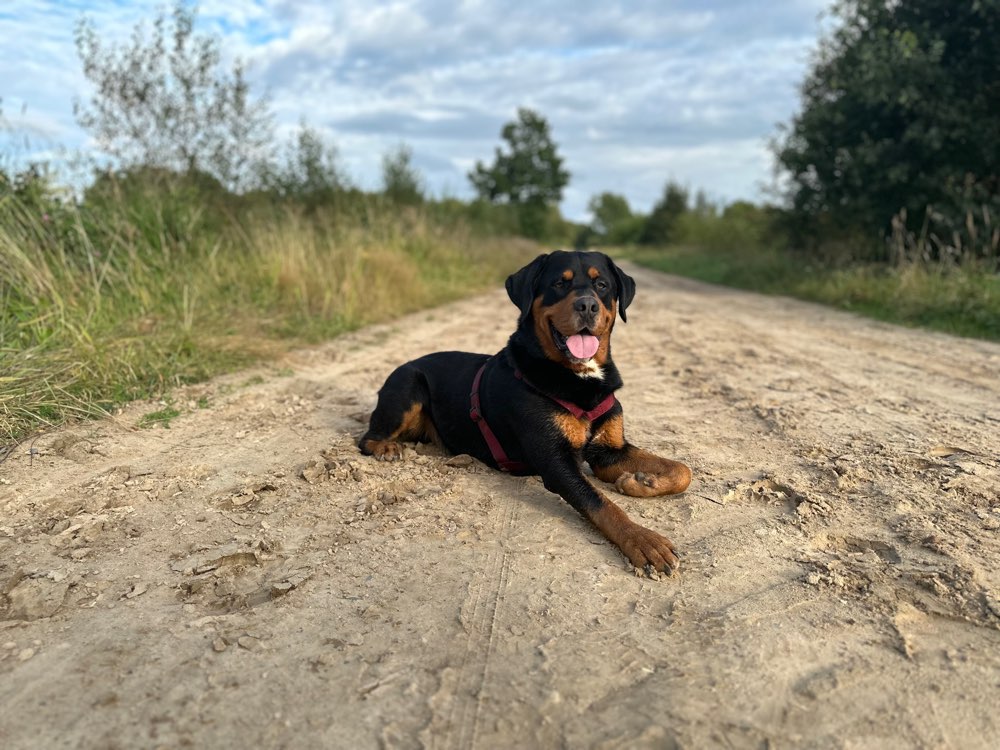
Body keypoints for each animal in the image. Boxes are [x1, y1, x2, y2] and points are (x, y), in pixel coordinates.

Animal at [360, 251, 696, 576]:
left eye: (602, 285)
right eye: (559, 283)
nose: (587, 305)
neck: (579, 377)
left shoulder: (608, 451)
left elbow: (682, 470)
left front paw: (641, 481)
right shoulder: (556, 462)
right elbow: (602, 504)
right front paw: (644, 541)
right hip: (408, 386)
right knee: (366, 438)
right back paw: (387, 447)